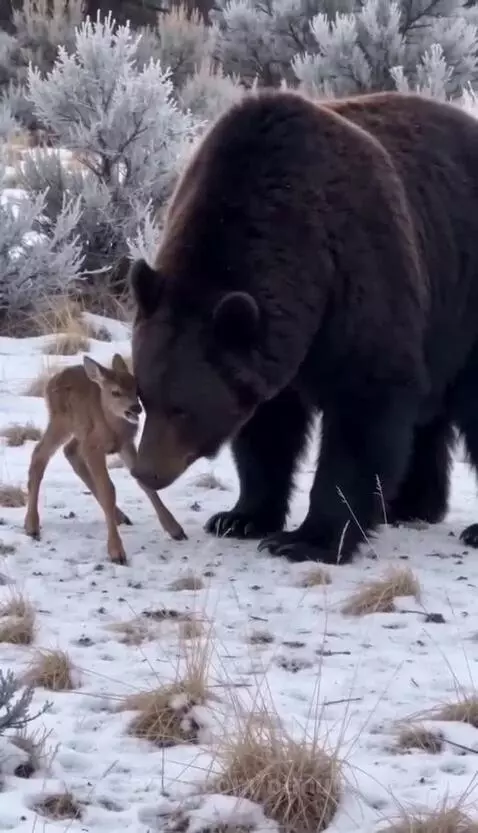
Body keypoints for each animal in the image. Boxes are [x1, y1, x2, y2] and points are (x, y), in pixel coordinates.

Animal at [24, 353, 187, 565]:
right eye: (115, 392)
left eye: (136, 390)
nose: (136, 408)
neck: (112, 427)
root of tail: (53, 380)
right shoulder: (94, 448)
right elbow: (108, 490)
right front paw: (117, 552)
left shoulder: (125, 444)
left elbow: (142, 481)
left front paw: (175, 529)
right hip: (62, 421)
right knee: (39, 455)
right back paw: (32, 526)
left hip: (79, 431)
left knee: (70, 451)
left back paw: (120, 516)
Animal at [128, 88, 478, 565]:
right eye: (145, 397)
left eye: (183, 407)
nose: (146, 472)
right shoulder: (275, 345)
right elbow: (267, 431)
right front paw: (240, 517)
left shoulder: (358, 275)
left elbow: (361, 412)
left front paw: (307, 538)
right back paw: (409, 504)